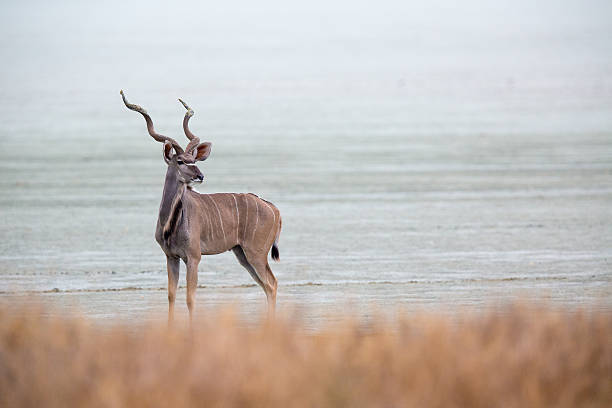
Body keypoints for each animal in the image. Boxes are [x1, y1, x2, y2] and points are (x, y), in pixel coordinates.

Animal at [120, 91, 282, 320]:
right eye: (180, 161)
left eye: (193, 160)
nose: (200, 176)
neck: (171, 223)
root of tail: (273, 208)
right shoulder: (171, 256)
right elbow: (171, 296)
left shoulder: (194, 257)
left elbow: (190, 298)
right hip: (242, 253)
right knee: (267, 285)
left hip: (255, 253)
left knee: (272, 283)